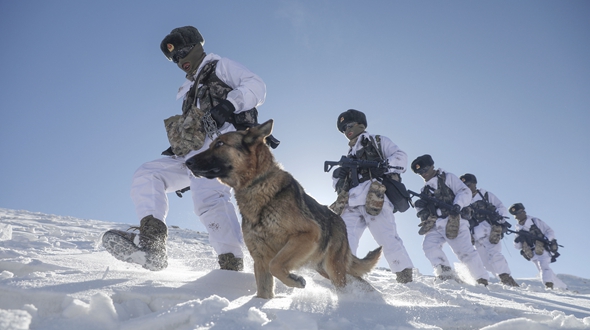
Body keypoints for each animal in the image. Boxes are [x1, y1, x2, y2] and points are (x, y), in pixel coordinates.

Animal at [186, 119, 384, 300]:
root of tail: (340, 220)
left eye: (220, 144)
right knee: (358, 280)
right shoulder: (260, 259)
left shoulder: (306, 234)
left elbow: (275, 265)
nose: (187, 162)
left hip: (333, 268)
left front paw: (295, 280)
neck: (257, 184)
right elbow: (264, 290)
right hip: (324, 268)